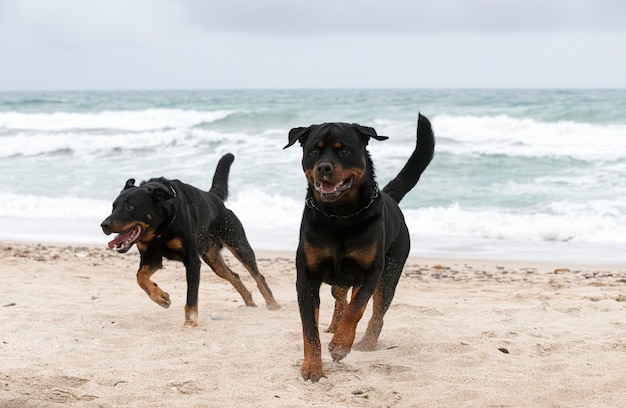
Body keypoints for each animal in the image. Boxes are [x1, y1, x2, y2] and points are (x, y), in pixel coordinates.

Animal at [100, 152, 280, 326]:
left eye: (130, 206)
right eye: (113, 206)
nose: (104, 225)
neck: (161, 229)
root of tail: (214, 197)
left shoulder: (192, 260)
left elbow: (191, 295)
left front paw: (190, 322)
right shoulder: (151, 257)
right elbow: (140, 277)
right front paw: (161, 297)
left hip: (236, 241)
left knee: (257, 275)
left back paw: (273, 304)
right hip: (212, 257)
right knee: (233, 275)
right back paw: (249, 302)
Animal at [284, 113, 434, 380]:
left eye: (344, 150)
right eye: (314, 151)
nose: (324, 168)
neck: (339, 216)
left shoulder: (371, 272)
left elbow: (357, 308)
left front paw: (341, 345)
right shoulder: (306, 277)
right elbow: (310, 327)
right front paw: (312, 365)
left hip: (390, 273)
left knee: (376, 313)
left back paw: (366, 342)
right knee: (340, 298)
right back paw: (334, 326)